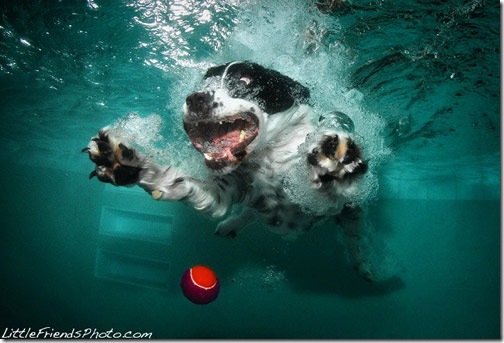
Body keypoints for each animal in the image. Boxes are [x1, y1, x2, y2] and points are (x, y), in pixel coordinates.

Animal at [83, 61, 374, 282]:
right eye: (204, 83)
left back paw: (362, 266)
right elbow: (178, 183)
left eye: (245, 80)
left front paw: (334, 158)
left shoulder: (316, 203)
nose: (195, 98)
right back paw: (230, 225)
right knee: (251, 213)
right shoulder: (221, 193)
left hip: (353, 213)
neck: (267, 158)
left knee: (354, 238)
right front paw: (124, 163)